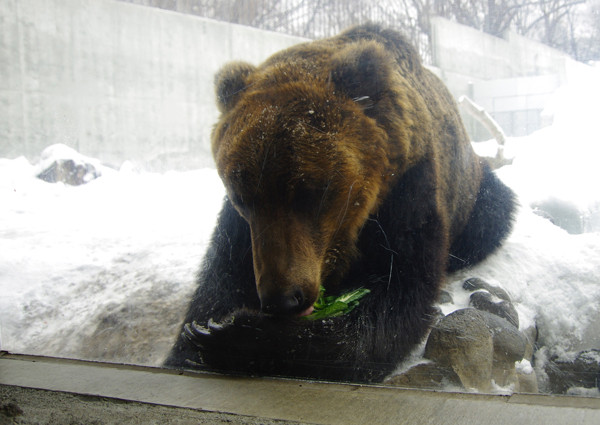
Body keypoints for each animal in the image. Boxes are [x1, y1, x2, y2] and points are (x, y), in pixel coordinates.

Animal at [165, 22, 516, 380]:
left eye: (312, 190)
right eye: (242, 195)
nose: (282, 298)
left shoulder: (405, 194)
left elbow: (397, 297)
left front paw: (235, 335)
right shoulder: (244, 227)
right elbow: (220, 277)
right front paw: (198, 335)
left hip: (474, 194)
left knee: (492, 215)